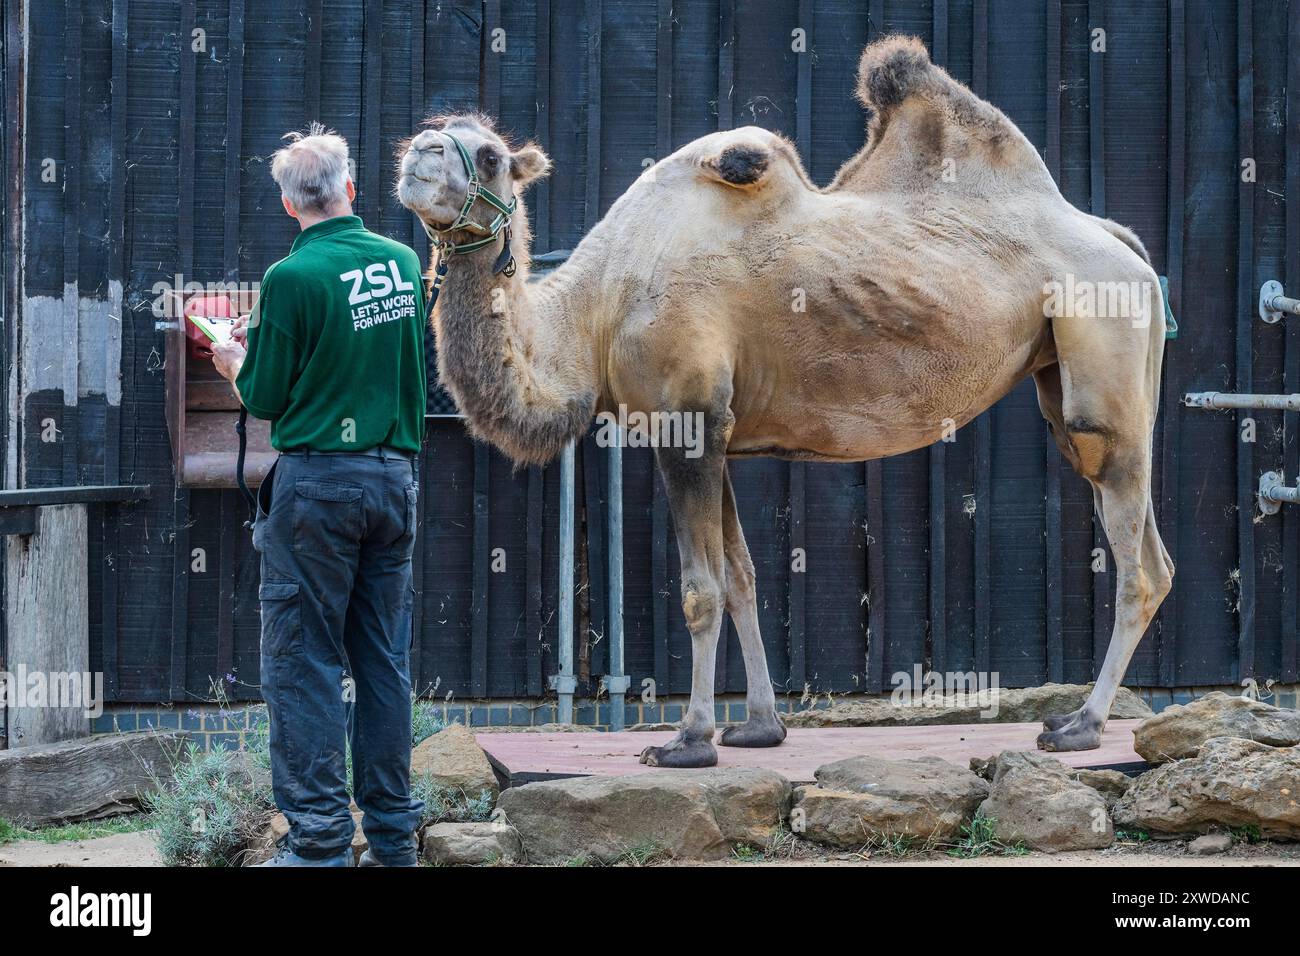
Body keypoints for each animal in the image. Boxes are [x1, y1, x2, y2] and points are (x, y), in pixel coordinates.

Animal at [395, 35, 1173, 768]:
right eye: (436, 133)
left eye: (489, 155)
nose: (416, 157)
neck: (599, 308)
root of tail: (1121, 243)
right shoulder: (716, 431)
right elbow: (741, 577)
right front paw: (759, 727)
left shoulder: (686, 420)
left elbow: (701, 588)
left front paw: (689, 739)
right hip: (1064, 373)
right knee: (1150, 550)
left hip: (1103, 350)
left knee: (1136, 556)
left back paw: (1080, 725)